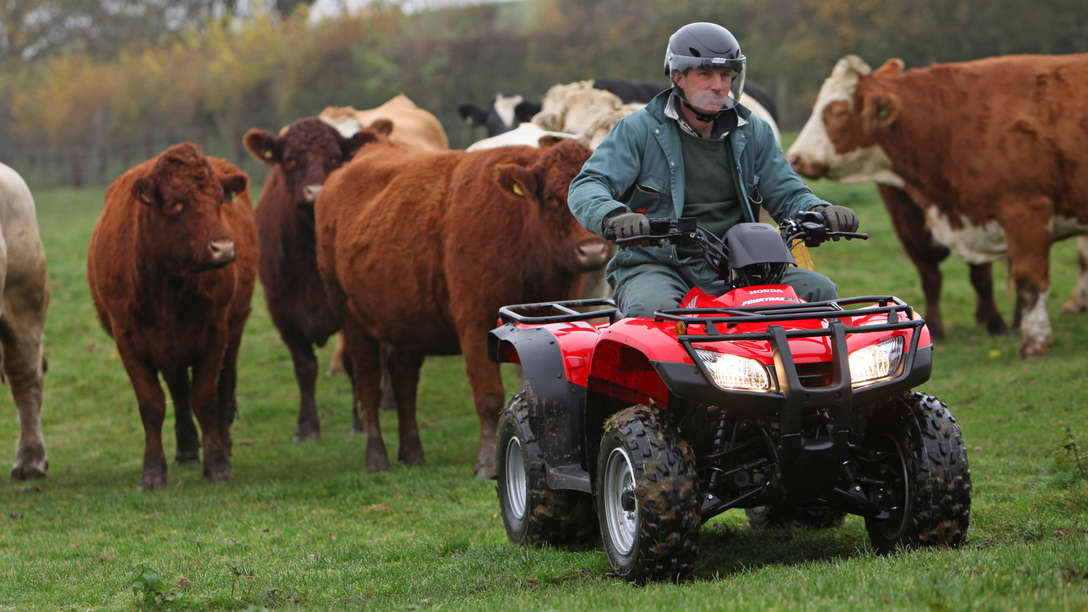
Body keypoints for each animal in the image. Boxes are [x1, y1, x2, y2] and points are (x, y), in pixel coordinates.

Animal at [88, 142, 258, 485]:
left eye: (219, 200)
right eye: (175, 204)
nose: (223, 248)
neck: (167, 285)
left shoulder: (215, 332)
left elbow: (206, 397)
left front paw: (218, 465)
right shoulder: (127, 340)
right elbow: (152, 403)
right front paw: (153, 471)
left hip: (233, 329)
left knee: (224, 386)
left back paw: (222, 444)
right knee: (178, 391)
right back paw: (186, 448)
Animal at [244, 116, 380, 437]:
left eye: (335, 158)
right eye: (290, 159)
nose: (315, 193)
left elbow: (352, 361)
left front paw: (359, 422)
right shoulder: (281, 311)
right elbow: (304, 366)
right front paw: (306, 427)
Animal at [313, 139, 613, 476]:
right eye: (552, 197)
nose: (592, 251)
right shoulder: (475, 321)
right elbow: (489, 397)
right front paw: (486, 463)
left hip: (406, 322)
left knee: (404, 379)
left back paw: (412, 451)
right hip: (351, 319)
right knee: (368, 381)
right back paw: (377, 457)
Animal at [787, 54, 1088, 355]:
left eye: (838, 112)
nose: (795, 157)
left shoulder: (1025, 212)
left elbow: (1027, 283)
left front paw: (1033, 342)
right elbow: (935, 278)